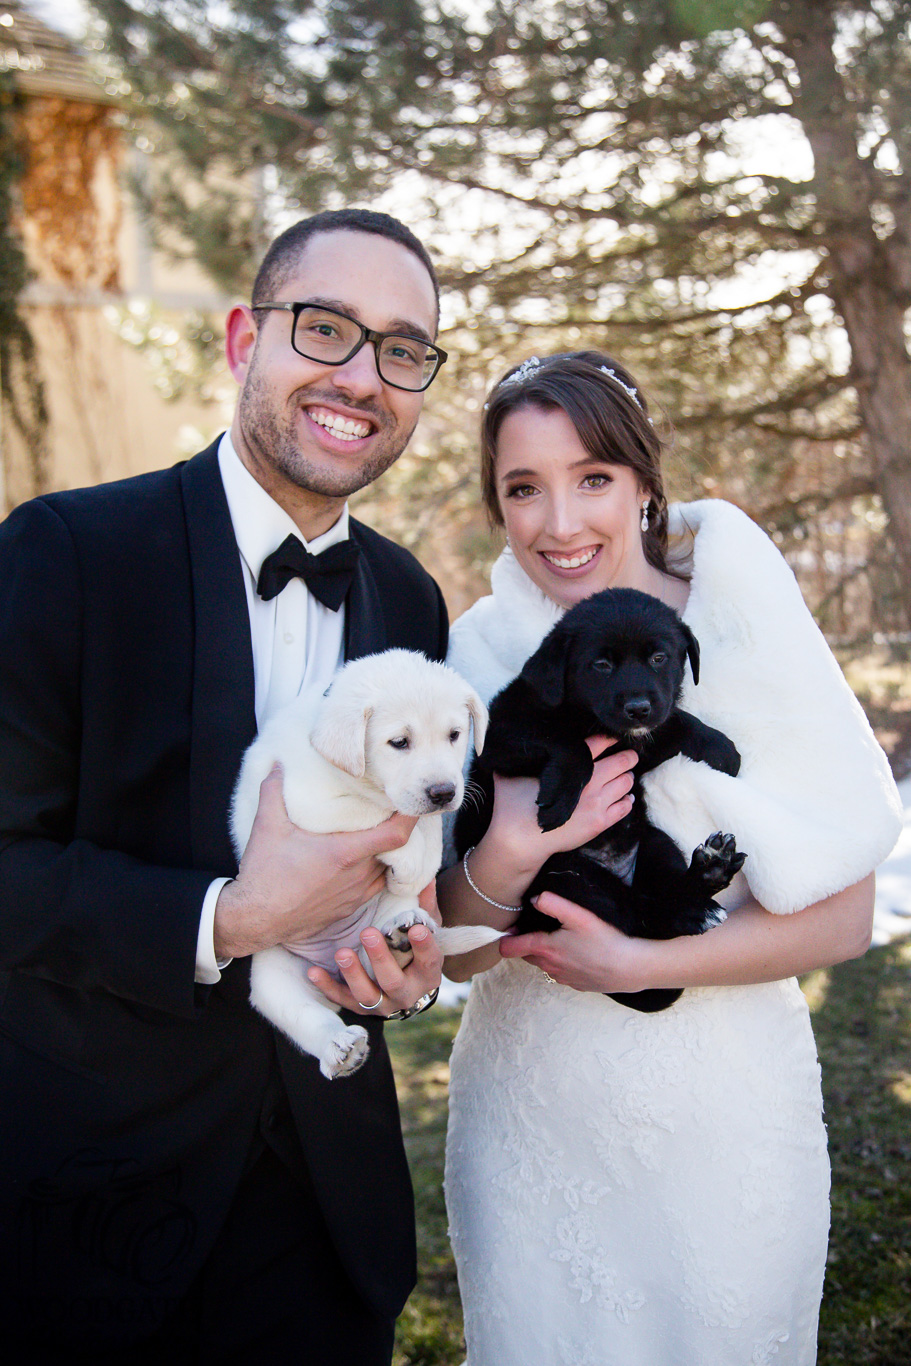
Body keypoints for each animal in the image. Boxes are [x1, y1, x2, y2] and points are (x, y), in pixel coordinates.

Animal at [228, 647, 499, 1076]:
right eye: (399, 742)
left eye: (455, 735)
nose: (443, 793)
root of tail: (339, 961)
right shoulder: (305, 802)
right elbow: (378, 814)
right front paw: (405, 857)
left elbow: (424, 830)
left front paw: (412, 874)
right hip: (274, 977)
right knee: (304, 1015)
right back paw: (339, 1047)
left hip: (372, 950)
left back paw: (403, 930)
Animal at [456, 587, 748, 1016]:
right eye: (602, 665)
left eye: (659, 658)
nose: (638, 708)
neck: (596, 723)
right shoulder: (501, 737)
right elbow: (566, 742)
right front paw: (560, 798)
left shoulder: (644, 743)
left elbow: (676, 722)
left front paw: (722, 749)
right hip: (568, 878)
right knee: (637, 915)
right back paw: (692, 911)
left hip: (655, 844)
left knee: (659, 897)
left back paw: (709, 872)